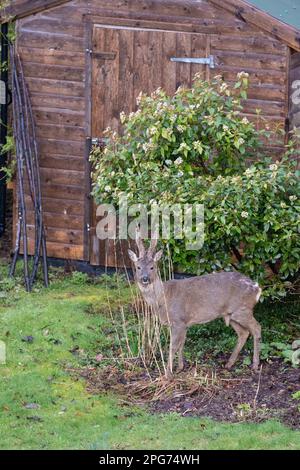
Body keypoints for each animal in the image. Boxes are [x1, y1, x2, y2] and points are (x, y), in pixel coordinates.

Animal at [127, 229, 262, 380]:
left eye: (152, 267)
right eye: (138, 267)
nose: (144, 279)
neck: (163, 299)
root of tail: (257, 288)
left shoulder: (178, 320)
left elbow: (173, 346)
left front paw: (168, 373)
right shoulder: (184, 323)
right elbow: (181, 344)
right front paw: (180, 367)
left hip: (243, 309)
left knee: (257, 328)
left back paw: (255, 365)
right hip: (231, 314)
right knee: (243, 333)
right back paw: (229, 363)